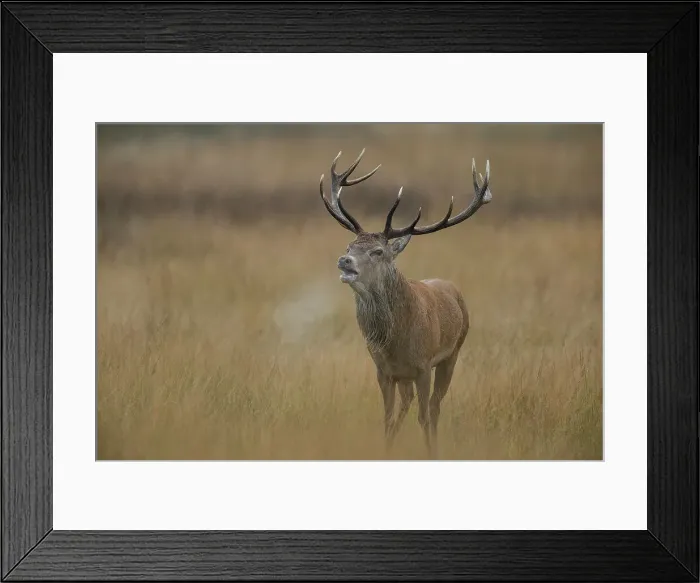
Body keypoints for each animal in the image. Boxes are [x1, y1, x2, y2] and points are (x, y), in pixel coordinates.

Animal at [318, 149, 492, 458]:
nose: (344, 260)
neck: (395, 343)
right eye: (350, 246)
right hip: (407, 377)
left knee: (434, 408)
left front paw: (431, 452)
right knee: (408, 402)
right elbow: (387, 418)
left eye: (377, 251)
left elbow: (424, 416)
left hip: (452, 354)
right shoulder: (384, 371)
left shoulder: (423, 366)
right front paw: (385, 451)